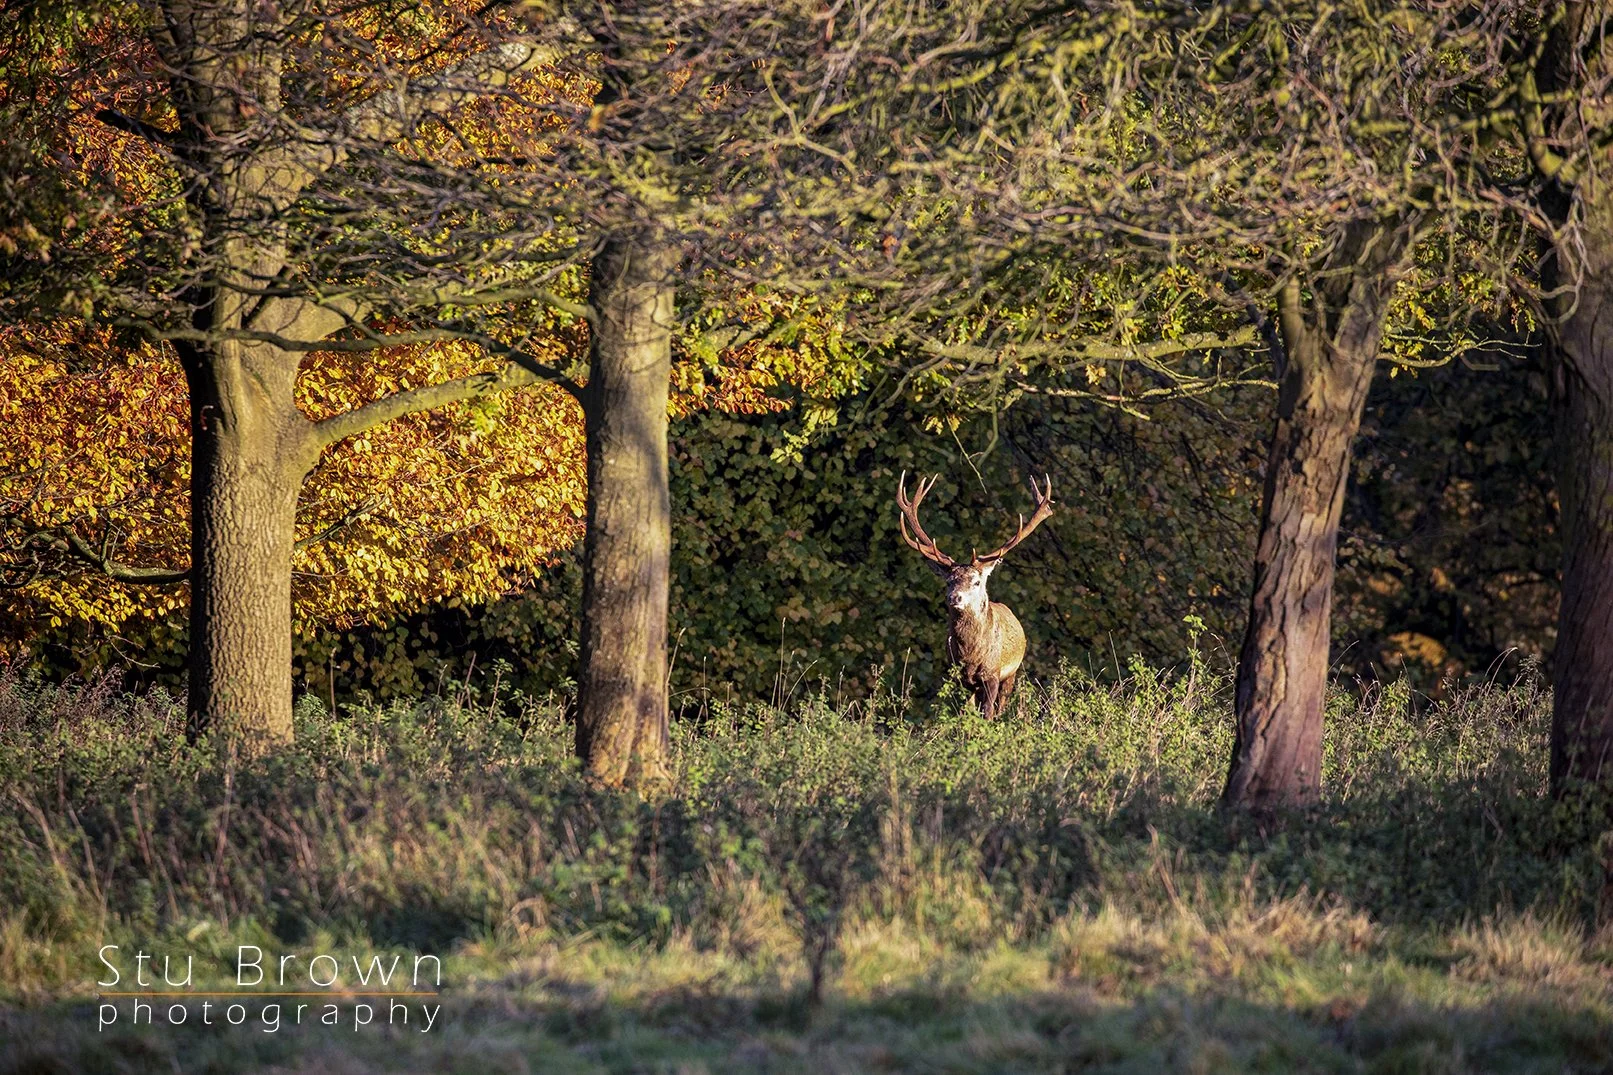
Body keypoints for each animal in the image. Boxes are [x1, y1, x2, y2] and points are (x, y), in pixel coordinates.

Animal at [896, 471, 1054, 719]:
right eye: (949, 581)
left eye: (976, 581)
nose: (955, 597)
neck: (970, 655)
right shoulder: (957, 676)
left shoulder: (992, 673)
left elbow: (988, 712)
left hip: (1011, 673)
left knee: (1001, 706)